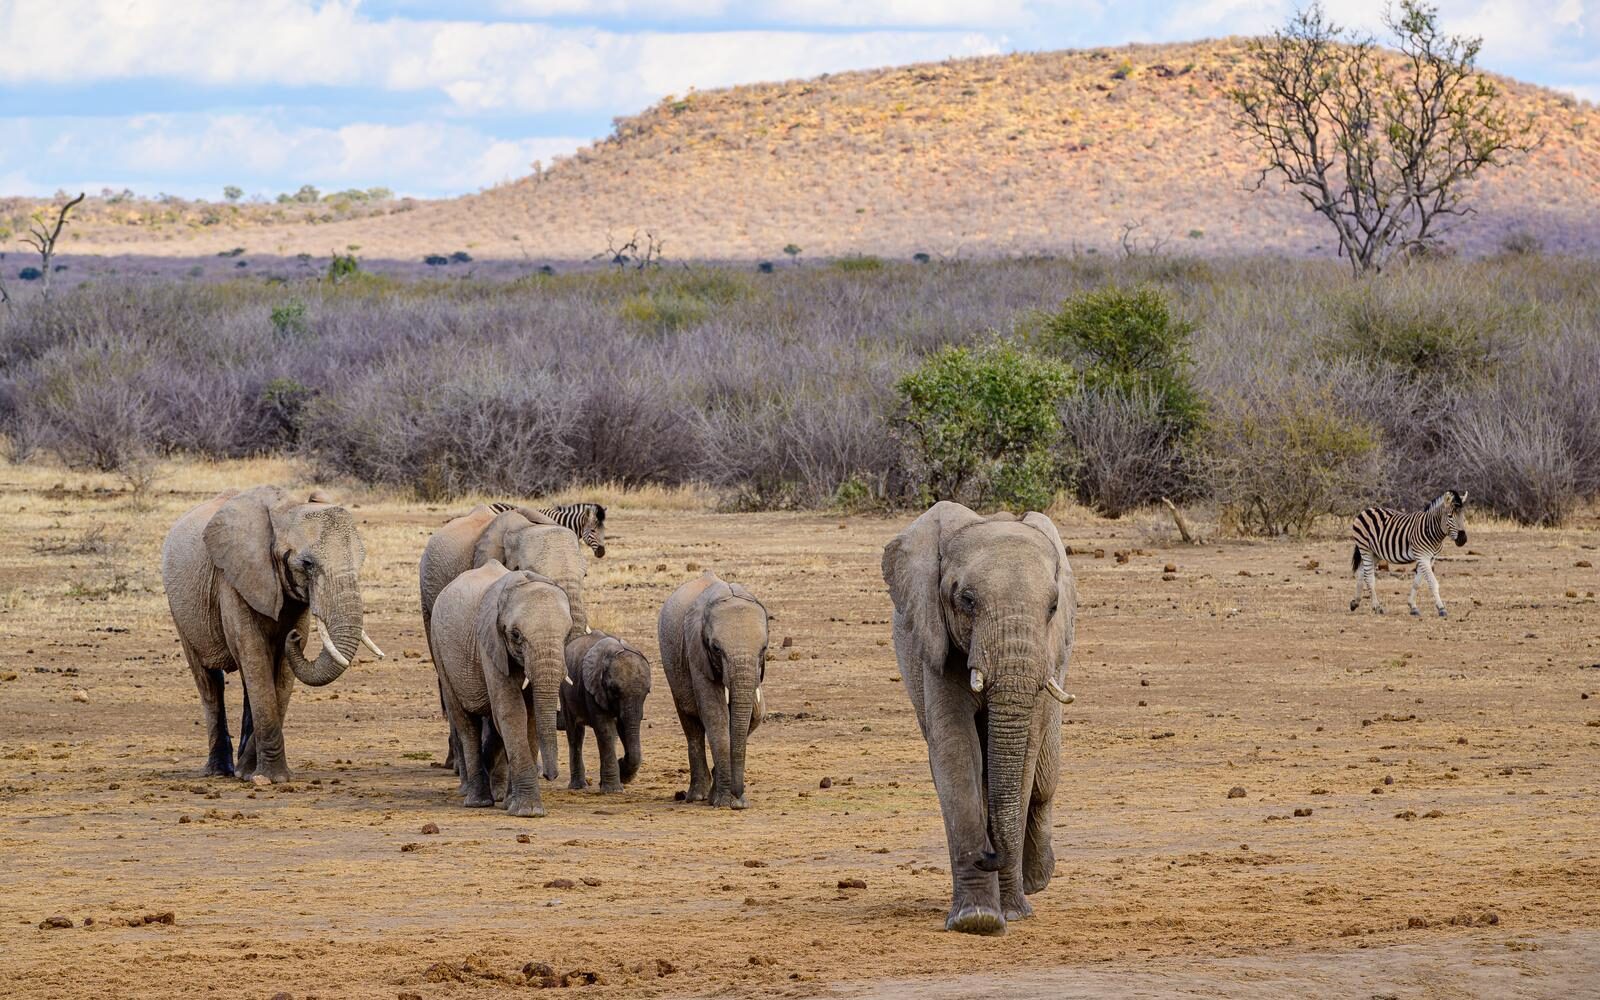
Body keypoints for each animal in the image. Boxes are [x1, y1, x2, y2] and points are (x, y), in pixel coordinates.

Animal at [160, 486, 383, 783]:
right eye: (307, 564)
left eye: (361, 561)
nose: (293, 638)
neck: (284, 513)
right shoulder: (232, 580)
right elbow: (253, 652)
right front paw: (271, 778)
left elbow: (281, 670)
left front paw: (252, 772)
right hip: (180, 610)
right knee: (209, 682)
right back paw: (219, 771)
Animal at [429, 561, 572, 816]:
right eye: (515, 635)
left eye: (567, 635)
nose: (550, 776)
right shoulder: (489, 643)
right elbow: (512, 712)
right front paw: (528, 811)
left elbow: (530, 717)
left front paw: (514, 804)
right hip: (439, 650)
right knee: (466, 723)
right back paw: (477, 800)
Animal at [560, 631, 651, 793]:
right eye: (613, 690)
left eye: (647, 692)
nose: (622, 760)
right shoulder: (592, 687)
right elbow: (605, 729)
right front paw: (614, 790)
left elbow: (622, 728)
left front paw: (622, 774)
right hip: (565, 691)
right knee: (575, 733)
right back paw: (578, 787)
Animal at [657, 571, 768, 809]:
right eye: (716, 649)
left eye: (764, 649)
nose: (739, 801)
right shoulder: (696, 651)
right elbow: (715, 714)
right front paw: (724, 802)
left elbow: (754, 716)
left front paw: (729, 800)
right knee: (691, 724)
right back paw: (697, 796)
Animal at [881, 501, 1077, 935]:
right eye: (967, 600)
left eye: (1053, 607)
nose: (987, 854)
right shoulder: (934, 642)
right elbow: (955, 747)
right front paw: (979, 921)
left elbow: (1026, 752)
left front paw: (1013, 913)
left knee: (1045, 780)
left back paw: (1037, 879)